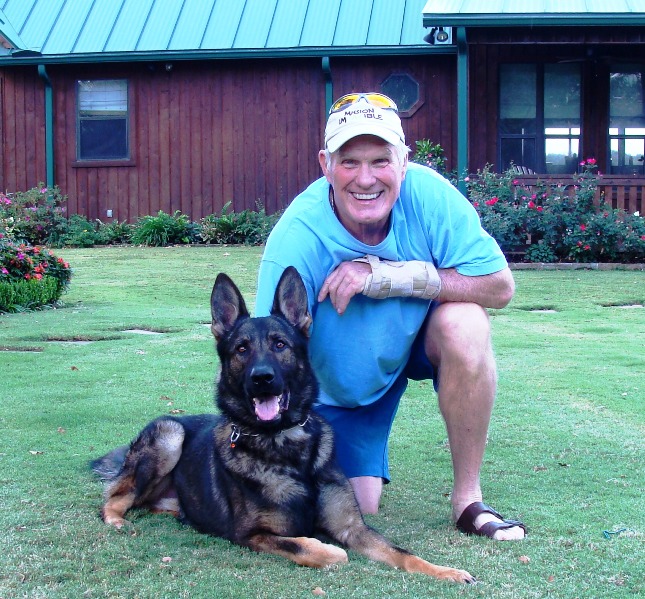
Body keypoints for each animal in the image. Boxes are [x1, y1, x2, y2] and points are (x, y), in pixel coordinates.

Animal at [90, 268, 472, 584]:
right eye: (241, 349)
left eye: (280, 344)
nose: (262, 379)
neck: (285, 445)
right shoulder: (253, 535)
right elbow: (316, 548)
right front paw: (329, 550)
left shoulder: (353, 527)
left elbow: (401, 552)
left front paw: (444, 571)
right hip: (171, 434)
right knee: (114, 497)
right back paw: (117, 519)